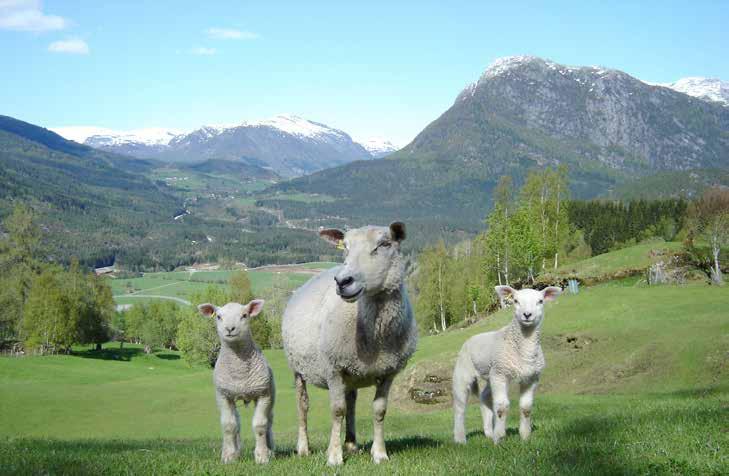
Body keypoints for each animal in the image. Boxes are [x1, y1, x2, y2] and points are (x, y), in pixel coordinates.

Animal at [198, 300, 274, 462]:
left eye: (244, 315)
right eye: (218, 316)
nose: (230, 328)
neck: (239, 372)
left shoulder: (264, 394)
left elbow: (260, 425)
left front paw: (262, 456)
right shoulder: (223, 396)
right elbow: (229, 425)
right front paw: (229, 457)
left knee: (269, 421)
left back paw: (271, 450)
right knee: (236, 422)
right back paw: (233, 450)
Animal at [282, 222, 418, 464]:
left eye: (384, 244)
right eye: (345, 246)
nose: (342, 281)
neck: (375, 337)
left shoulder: (388, 371)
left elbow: (379, 411)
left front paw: (380, 454)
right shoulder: (333, 368)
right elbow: (337, 411)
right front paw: (334, 457)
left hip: (352, 372)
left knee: (351, 401)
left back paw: (351, 444)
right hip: (298, 369)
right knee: (303, 405)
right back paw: (304, 448)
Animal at [450, 286, 564, 446]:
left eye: (540, 301)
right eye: (515, 301)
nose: (527, 315)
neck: (524, 351)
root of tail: (471, 338)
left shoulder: (531, 378)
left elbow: (526, 408)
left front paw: (525, 436)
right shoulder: (501, 375)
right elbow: (502, 408)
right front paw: (499, 438)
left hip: (491, 374)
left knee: (484, 397)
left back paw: (488, 433)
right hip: (464, 372)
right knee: (460, 406)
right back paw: (460, 439)